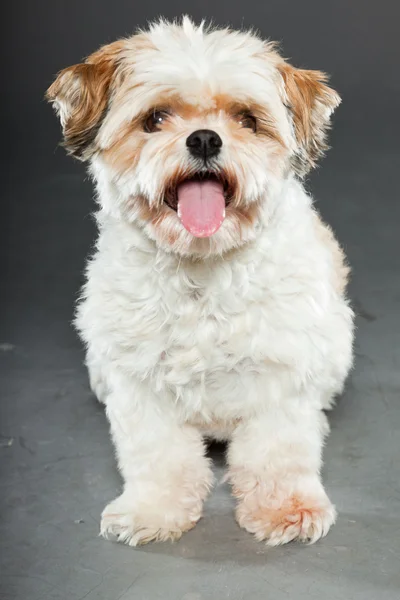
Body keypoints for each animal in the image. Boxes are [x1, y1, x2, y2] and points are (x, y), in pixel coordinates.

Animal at [47, 16, 354, 548]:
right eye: (155, 119)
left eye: (247, 119)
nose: (206, 139)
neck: (201, 271)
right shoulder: (139, 385)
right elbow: (158, 455)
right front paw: (153, 509)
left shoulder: (282, 379)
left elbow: (277, 452)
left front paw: (285, 509)